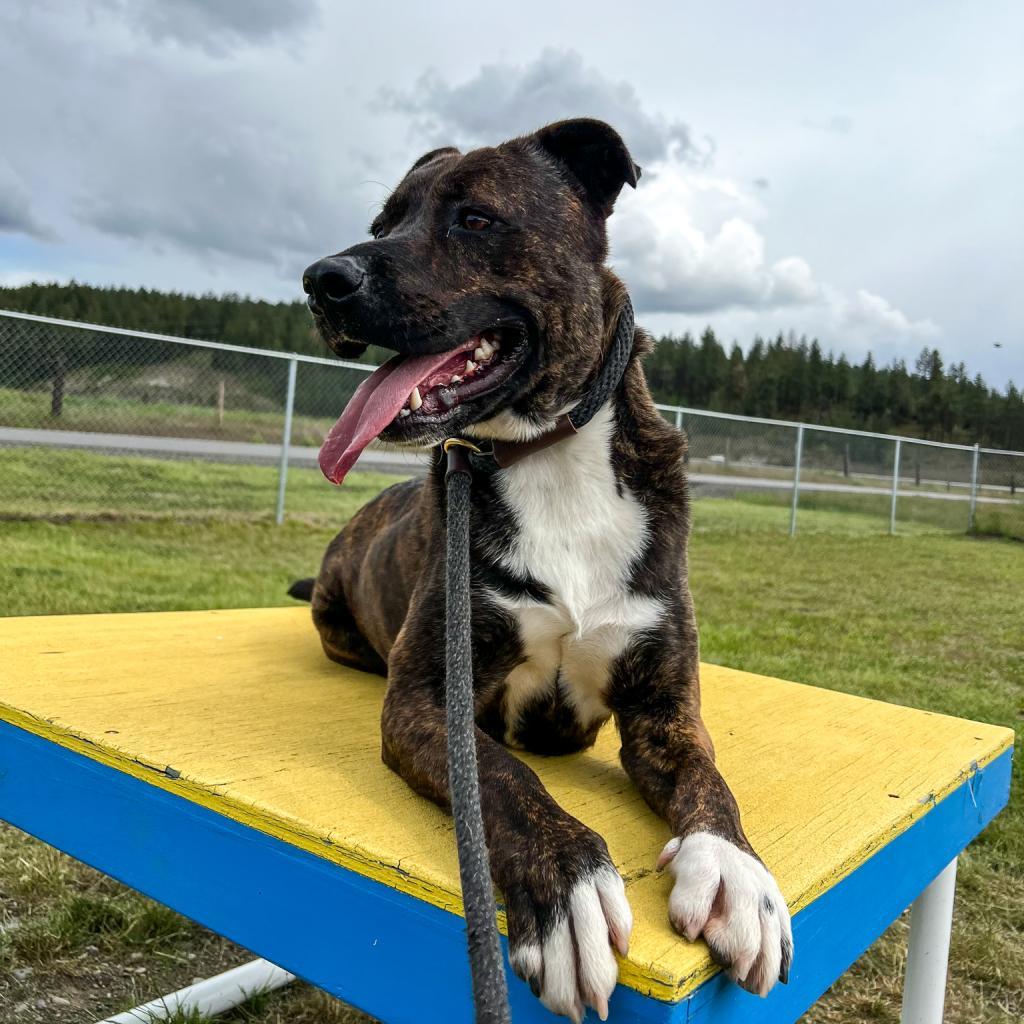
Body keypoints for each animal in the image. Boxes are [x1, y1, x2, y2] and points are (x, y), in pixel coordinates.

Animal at [294, 117, 790, 1015]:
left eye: (476, 219)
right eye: (383, 222)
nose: (322, 279)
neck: (550, 454)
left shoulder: (663, 708)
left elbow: (710, 777)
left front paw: (737, 872)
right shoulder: (428, 705)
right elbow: (504, 779)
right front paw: (569, 889)